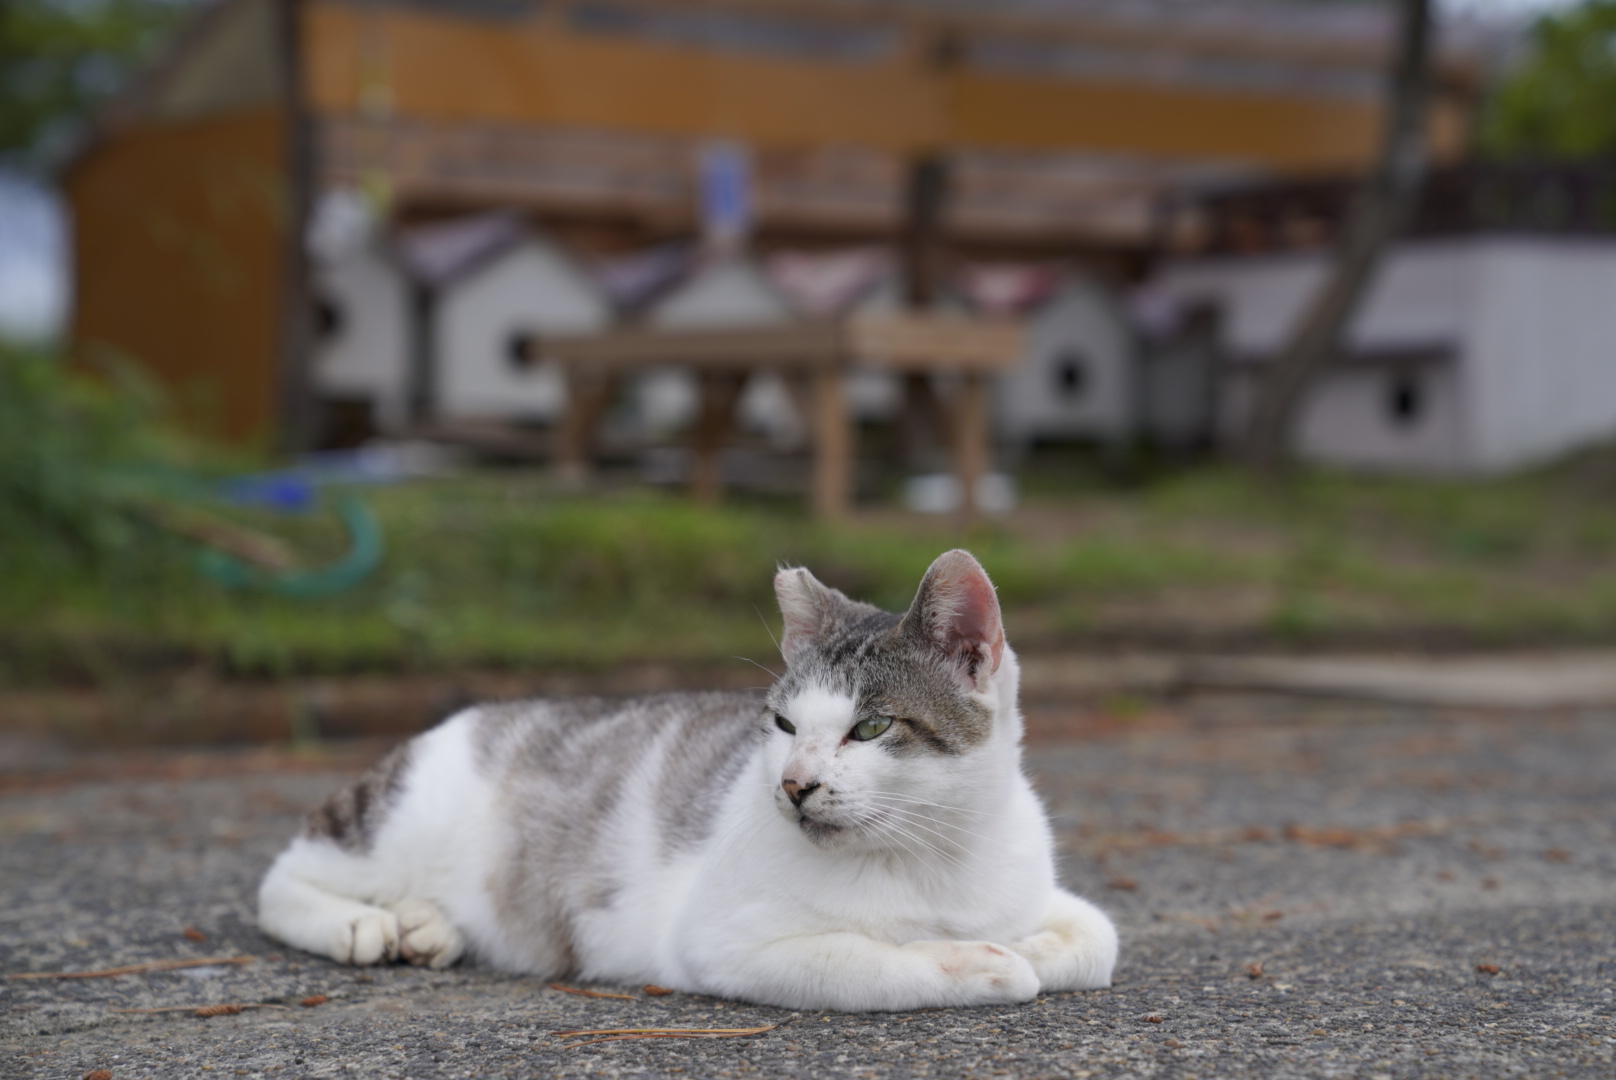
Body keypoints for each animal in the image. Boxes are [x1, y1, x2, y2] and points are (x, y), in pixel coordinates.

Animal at [258, 549, 1118, 1011]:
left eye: (871, 728)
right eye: (783, 727)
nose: (794, 786)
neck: (933, 853)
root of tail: (471, 713)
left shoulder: (1042, 891)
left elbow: (1097, 938)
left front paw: (1028, 946)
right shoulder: (723, 943)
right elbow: (870, 962)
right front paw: (985, 962)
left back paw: (428, 924)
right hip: (397, 823)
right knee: (282, 877)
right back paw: (359, 923)